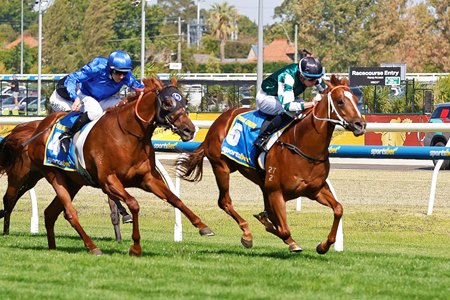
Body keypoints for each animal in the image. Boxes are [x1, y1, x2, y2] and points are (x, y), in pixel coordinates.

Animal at [3, 77, 214, 255]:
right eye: (168, 102)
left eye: (184, 102)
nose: (189, 130)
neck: (127, 135)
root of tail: (38, 127)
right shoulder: (108, 180)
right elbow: (134, 204)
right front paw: (135, 247)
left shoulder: (147, 179)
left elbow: (175, 199)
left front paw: (203, 227)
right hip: (48, 175)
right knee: (63, 211)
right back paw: (92, 247)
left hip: (73, 182)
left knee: (50, 213)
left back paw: (53, 247)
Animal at [176, 75, 366, 253]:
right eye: (340, 101)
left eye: (356, 100)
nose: (360, 124)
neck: (303, 145)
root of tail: (220, 119)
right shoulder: (275, 191)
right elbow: (283, 229)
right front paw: (270, 226)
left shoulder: (315, 190)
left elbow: (338, 209)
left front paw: (323, 245)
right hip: (221, 167)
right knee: (224, 202)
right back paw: (246, 234)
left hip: (257, 181)